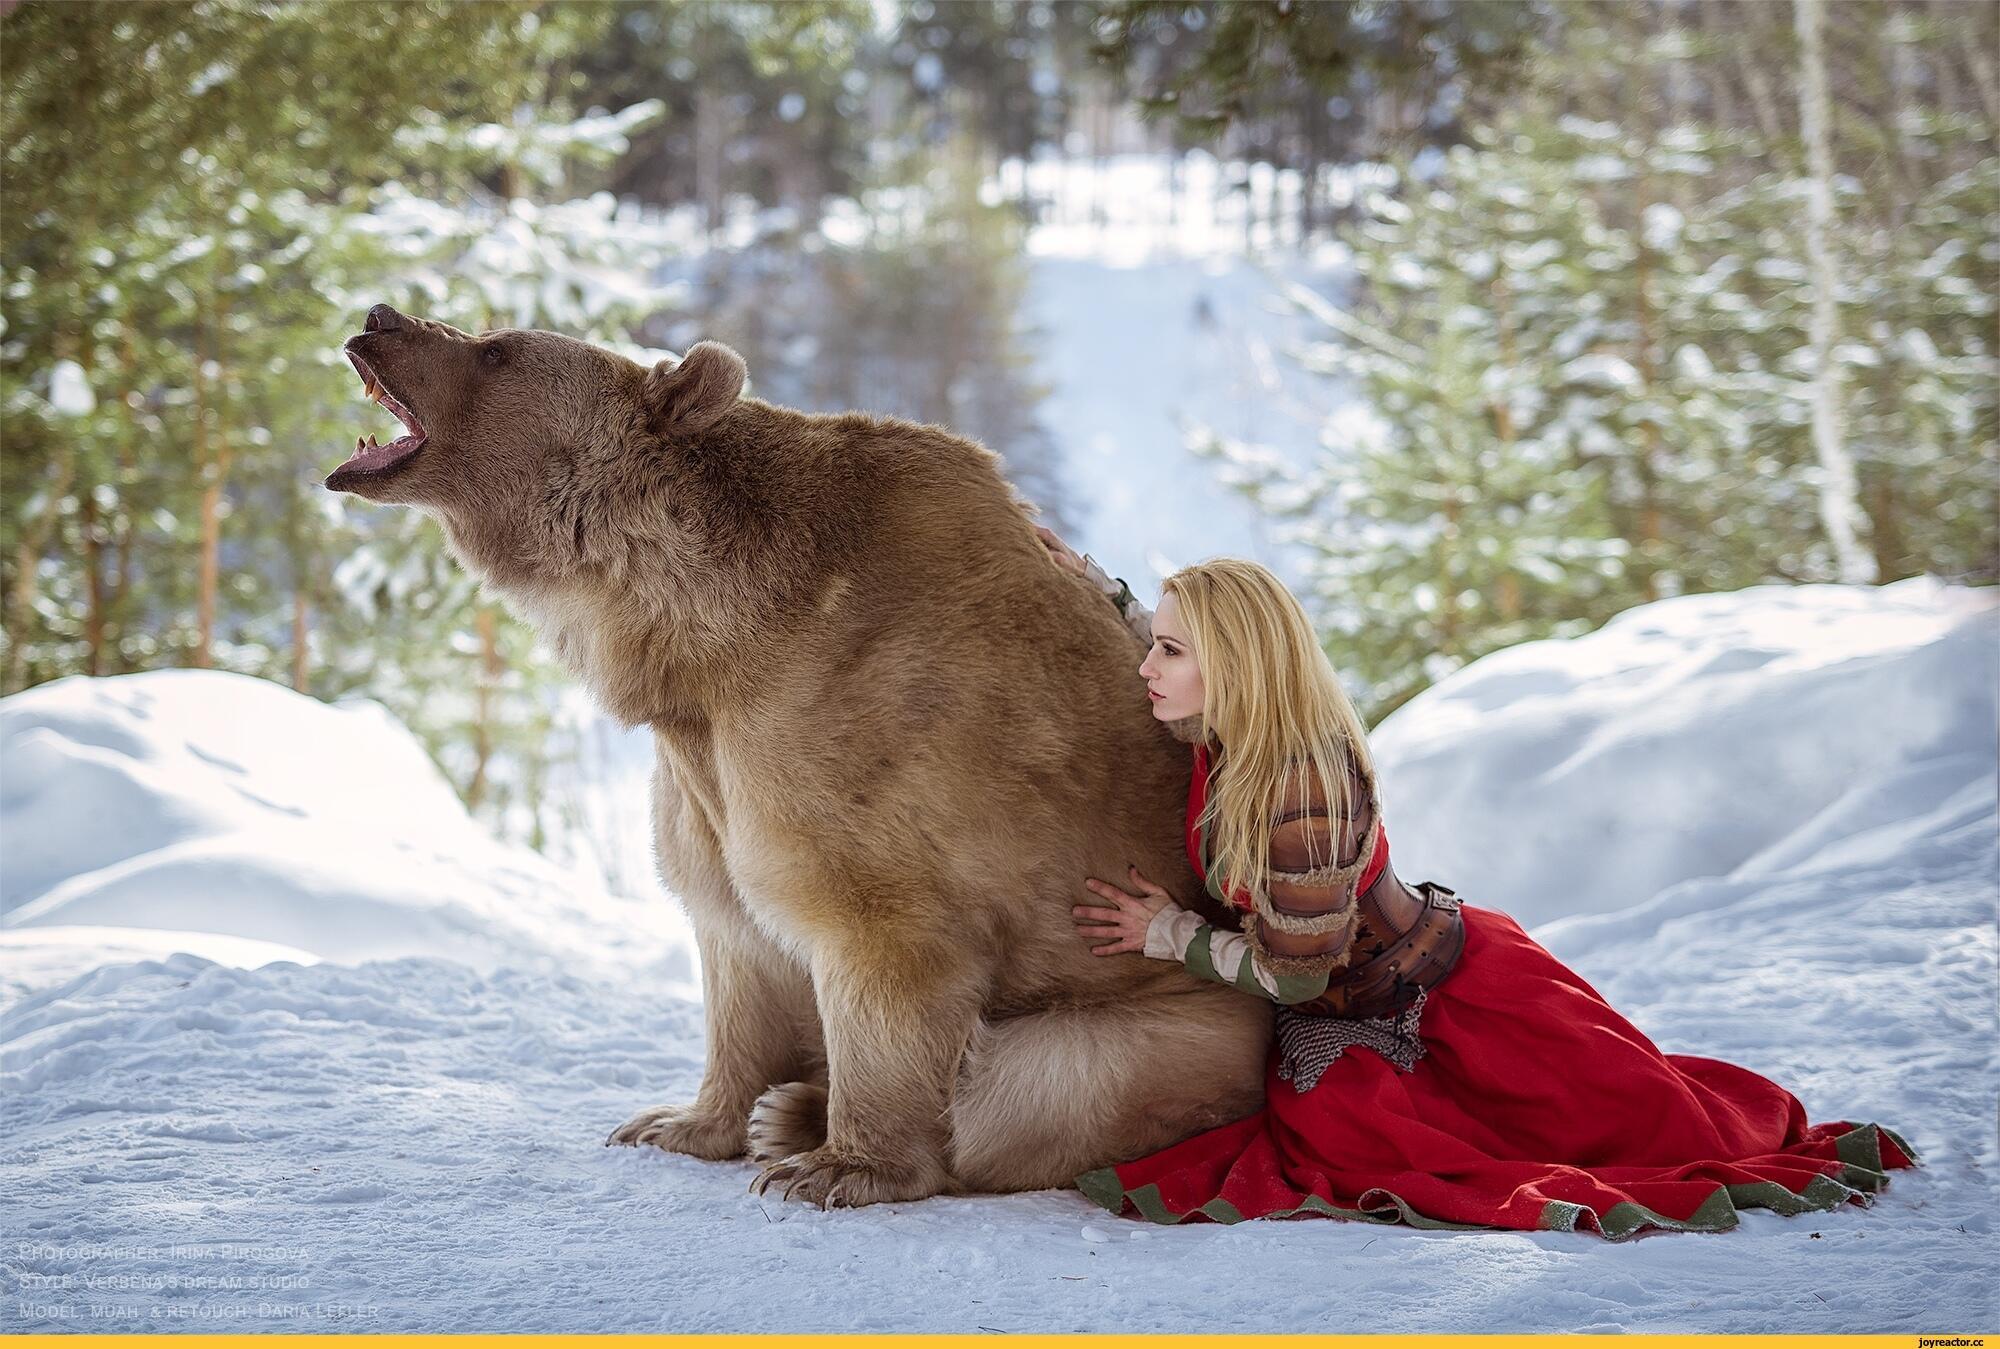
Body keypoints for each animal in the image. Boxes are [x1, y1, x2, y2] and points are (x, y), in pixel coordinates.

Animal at [328, 302, 1264, 1200]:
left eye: (497, 351)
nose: (380, 317)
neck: (701, 642)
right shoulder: (704, 773)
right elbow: (734, 940)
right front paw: (681, 1120)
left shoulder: (854, 730)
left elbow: (877, 935)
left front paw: (838, 1165)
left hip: (1179, 1028)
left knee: (1022, 1090)